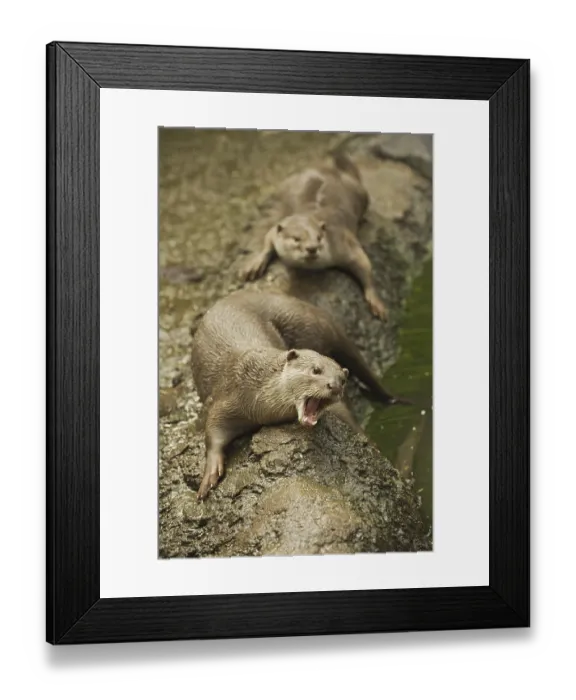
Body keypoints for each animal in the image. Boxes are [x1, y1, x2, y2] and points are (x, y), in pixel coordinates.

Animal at [191, 290, 401, 500]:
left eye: (343, 380)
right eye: (316, 370)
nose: (334, 386)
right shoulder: (228, 395)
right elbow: (213, 429)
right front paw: (210, 474)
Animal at [241, 152, 388, 320]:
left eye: (319, 237)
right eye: (296, 239)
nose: (312, 248)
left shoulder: (342, 241)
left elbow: (364, 263)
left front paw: (376, 302)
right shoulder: (276, 228)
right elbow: (267, 240)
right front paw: (253, 265)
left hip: (362, 194)